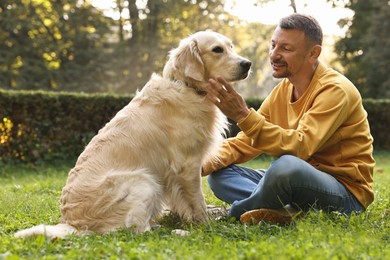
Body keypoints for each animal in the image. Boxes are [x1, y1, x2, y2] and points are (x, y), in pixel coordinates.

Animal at [13, 30, 251, 238]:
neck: (186, 86)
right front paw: (205, 225)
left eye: (231, 47)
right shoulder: (186, 165)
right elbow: (197, 201)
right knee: (136, 231)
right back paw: (176, 232)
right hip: (144, 181)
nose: (247, 64)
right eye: (217, 49)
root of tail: (71, 222)